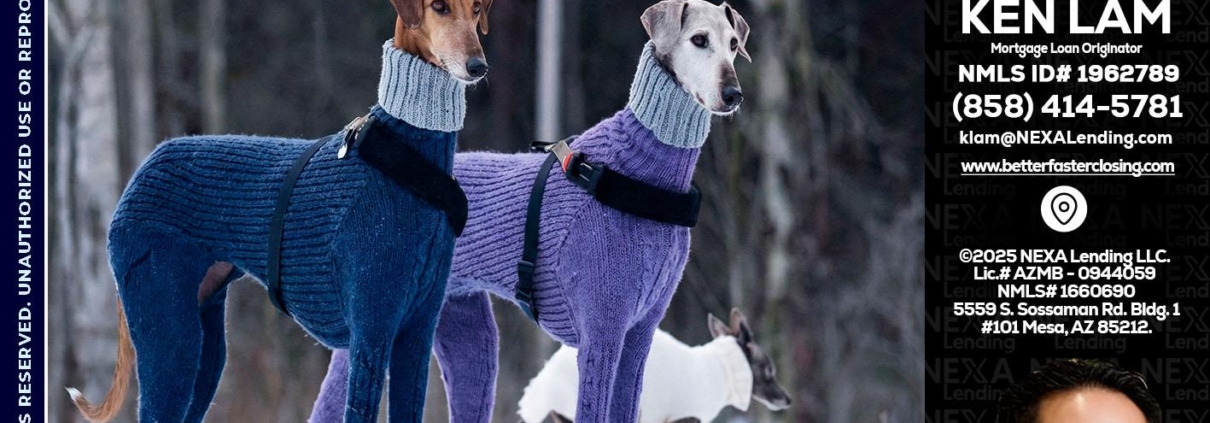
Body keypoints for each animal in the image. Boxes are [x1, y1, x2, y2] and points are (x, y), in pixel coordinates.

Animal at [66, 0, 491, 422]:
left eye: (476, 10)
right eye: (438, 7)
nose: (477, 66)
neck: (404, 155)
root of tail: (143, 168)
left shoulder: (416, 336)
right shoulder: (372, 334)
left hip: (206, 343)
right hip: (170, 336)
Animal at [309, 2, 751, 422]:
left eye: (733, 44)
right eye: (698, 40)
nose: (733, 94)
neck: (639, 171)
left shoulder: (638, 338)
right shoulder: (602, 334)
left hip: (466, 332)